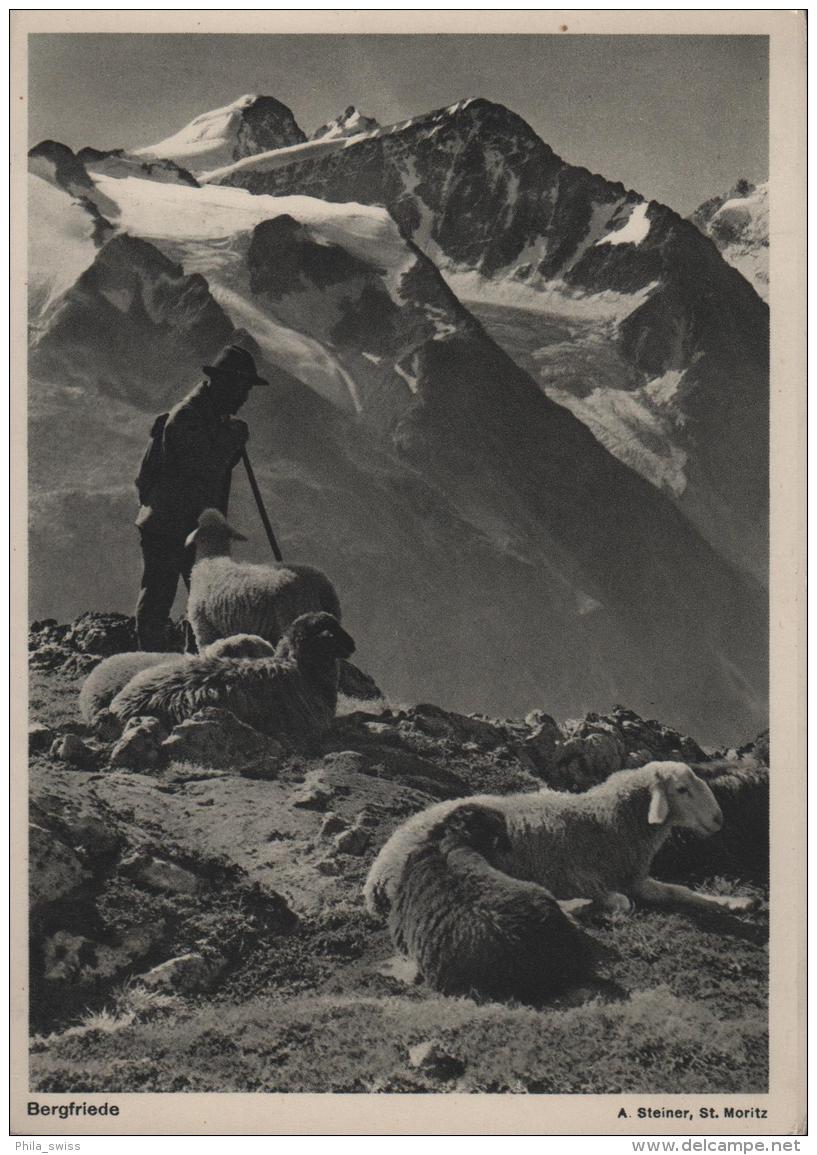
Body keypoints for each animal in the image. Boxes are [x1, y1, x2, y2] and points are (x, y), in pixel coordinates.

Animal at [367, 757, 758, 919]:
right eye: (681, 789)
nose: (719, 819)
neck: (606, 819)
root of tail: (375, 877)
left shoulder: (634, 876)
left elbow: (680, 891)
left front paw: (734, 902)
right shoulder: (577, 874)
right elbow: (621, 901)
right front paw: (601, 904)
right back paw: (575, 906)